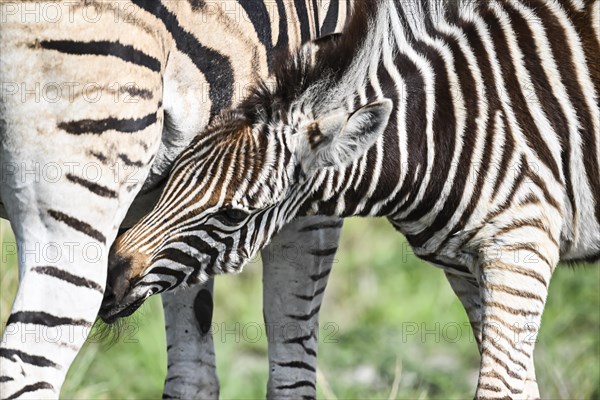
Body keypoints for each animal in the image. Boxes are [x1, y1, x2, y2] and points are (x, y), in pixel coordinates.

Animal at [103, 0, 600, 398]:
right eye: (167, 178)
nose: (110, 278)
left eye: (231, 215)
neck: (449, 128)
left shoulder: (521, 247)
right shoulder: (464, 265)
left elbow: (499, 388)